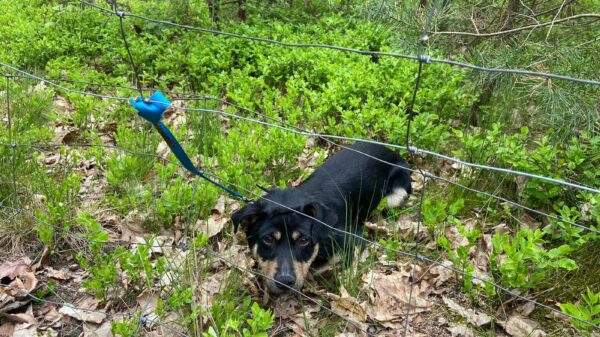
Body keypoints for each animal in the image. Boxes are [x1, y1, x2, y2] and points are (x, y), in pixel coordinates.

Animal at [232, 140, 410, 292]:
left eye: (304, 240)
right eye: (268, 239)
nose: (285, 282)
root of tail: (392, 152)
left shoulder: (355, 240)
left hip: (396, 195)